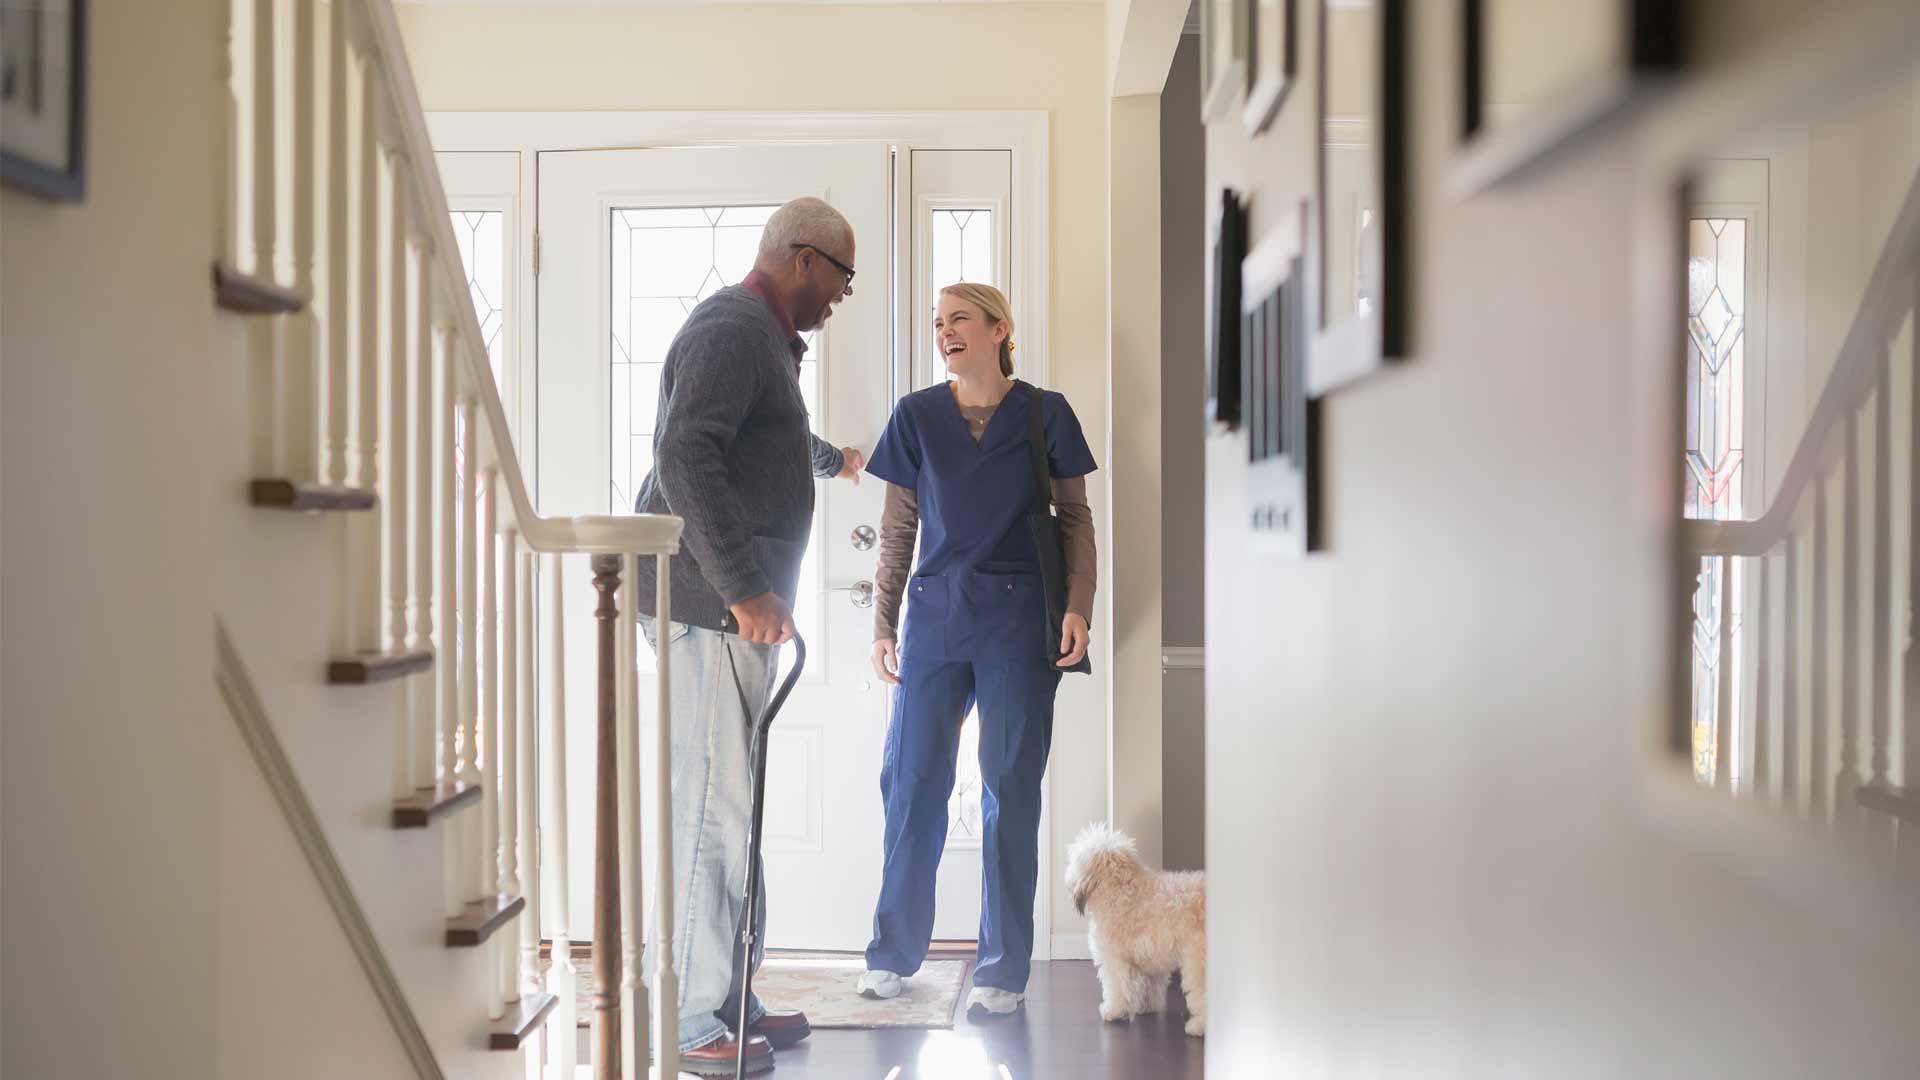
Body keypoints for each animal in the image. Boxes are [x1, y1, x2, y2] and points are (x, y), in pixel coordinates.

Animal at [1067, 814, 1198, 1037]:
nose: (1067, 875)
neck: (1118, 889)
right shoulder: (1150, 960)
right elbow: (1149, 986)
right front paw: (1146, 1008)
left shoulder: (1114, 958)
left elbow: (1118, 987)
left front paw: (1112, 1011)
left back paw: (1197, 1026)